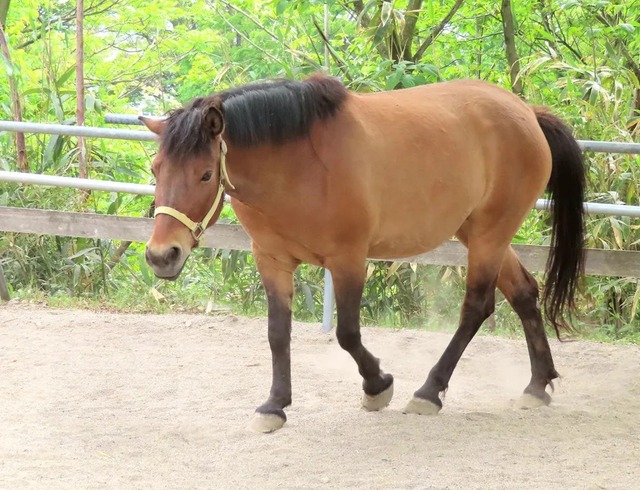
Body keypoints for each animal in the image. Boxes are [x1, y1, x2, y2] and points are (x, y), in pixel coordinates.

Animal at [140, 74, 585, 433]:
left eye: (205, 174)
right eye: (156, 169)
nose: (163, 256)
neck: (299, 165)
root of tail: (527, 113)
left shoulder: (348, 260)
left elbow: (348, 333)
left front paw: (378, 386)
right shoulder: (272, 260)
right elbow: (277, 334)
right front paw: (274, 406)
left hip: (491, 235)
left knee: (477, 306)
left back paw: (429, 392)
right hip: (480, 234)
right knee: (524, 293)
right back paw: (537, 385)